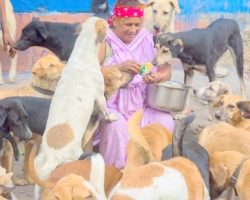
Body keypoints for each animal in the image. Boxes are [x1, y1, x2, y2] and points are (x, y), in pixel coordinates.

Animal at [33, 17, 115, 189]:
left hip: (40, 165)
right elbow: (105, 109)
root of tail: (53, 156)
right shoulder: (100, 95)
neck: (83, 54)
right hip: (76, 157)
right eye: (106, 25)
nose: (111, 25)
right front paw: (110, 117)